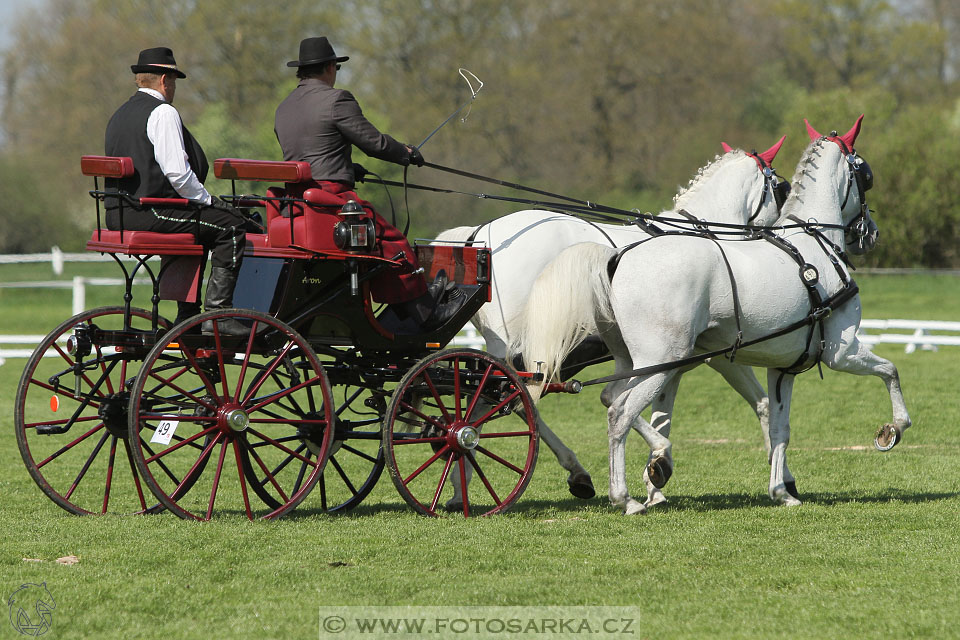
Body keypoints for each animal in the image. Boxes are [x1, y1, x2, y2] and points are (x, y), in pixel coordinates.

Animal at [436, 136, 788, 504]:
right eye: (779, 187)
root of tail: (480, 235)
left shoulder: (670, 361)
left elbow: (657, 412)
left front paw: (656, 474)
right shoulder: (716, 355)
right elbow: (762, 403)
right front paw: (780, 472)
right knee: (507, 397)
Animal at [510, 116, 908, 516]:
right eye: (866, 174)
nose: (870, 234)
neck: (813, 245)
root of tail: (618, 258)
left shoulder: (782, 366)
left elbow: (778, 426)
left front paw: (782, 490)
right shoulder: (841, 352)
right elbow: (890, 370)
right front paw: (893, 428)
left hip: (634, 362)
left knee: (606, 397)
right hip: (658, 361)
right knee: (613, 412)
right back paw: (624, 497)